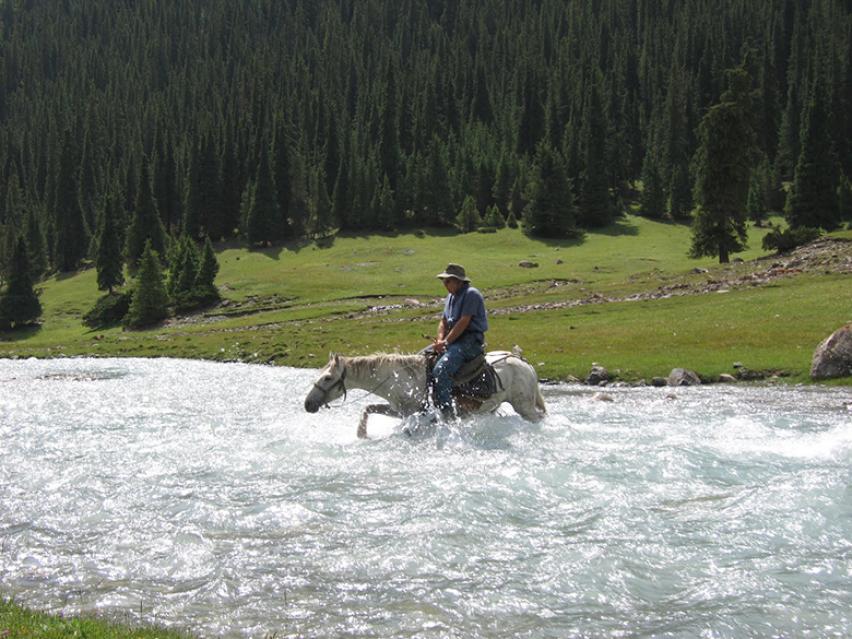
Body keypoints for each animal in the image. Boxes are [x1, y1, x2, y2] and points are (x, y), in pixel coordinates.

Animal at [306, 350, 544, 440]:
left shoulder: (416, 413)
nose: (308, 404)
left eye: (327, 378)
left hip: (525, 407)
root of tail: (523, 362)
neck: (399, 378)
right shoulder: (400, 411)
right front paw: (361, 434)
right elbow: (369, 408)